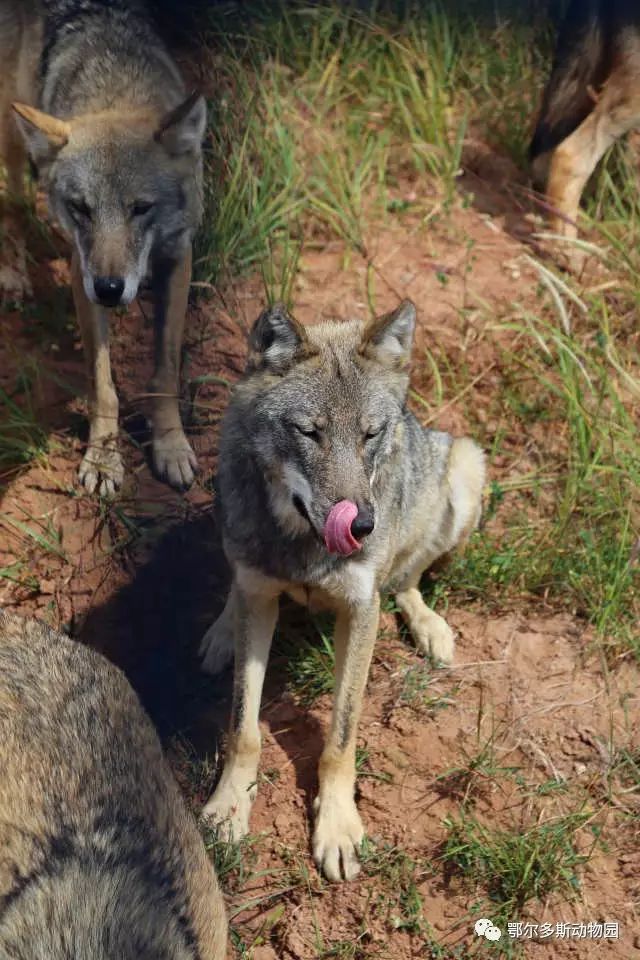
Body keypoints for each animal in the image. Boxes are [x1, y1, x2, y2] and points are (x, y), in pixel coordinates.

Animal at [0, 0, 205, 492]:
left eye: (141, 208)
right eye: (81, 208)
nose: (111, 291)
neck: (115, 90)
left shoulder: (178, 257)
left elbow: (165, 368)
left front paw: (170, 446)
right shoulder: (83, 271)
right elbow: (103, 385)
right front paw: (103, 459)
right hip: (10, 119)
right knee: (12, 194)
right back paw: (14, 274)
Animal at [200, 300, 484, 884]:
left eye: (370, 435)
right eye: (310, 433)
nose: (362, 526)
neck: (306, 549)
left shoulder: (360, 611)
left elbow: (340, 736)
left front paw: (336, 826)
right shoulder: (261, 598)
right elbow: (243, 728)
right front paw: (229, 807)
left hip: (466, 468)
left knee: (406, 581)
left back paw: (430, 628)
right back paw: (220, 633)